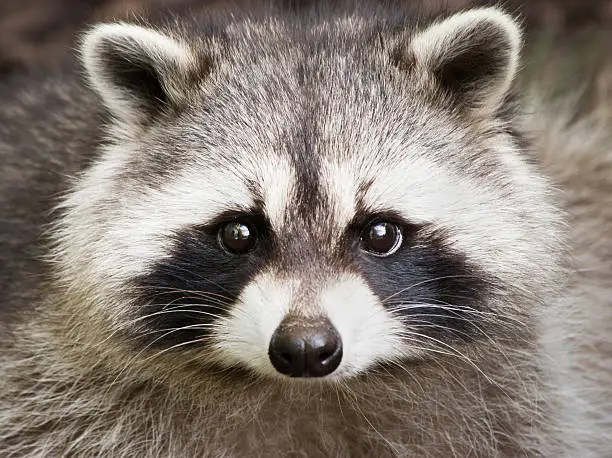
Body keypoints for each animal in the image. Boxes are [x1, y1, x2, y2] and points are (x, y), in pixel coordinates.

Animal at [1, 1, 612, 456]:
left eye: (380, 233)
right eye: (239, 233)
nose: (304, 349)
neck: (309, 394)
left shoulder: (526, 393)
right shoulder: (53, 391)